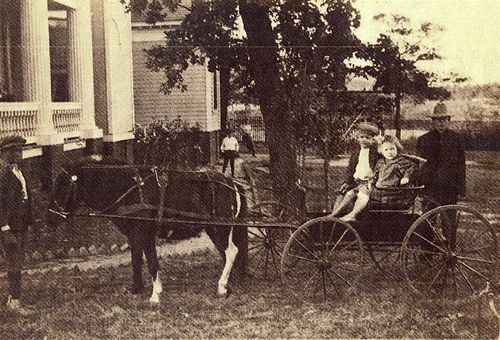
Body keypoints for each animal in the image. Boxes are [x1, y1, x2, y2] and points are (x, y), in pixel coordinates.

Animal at [47, 157, 247, 302]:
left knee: (231, 252)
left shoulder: (141, 233)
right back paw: (232, 282)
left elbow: (148, 262)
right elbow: (141, 260)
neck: (129, 188)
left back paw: (222, 286)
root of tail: (232, 184)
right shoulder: (139, 235)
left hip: (219, 229)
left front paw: (154, 295)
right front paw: (140, 289)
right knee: (229, 254)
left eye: (62, 185)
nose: (50, 216)